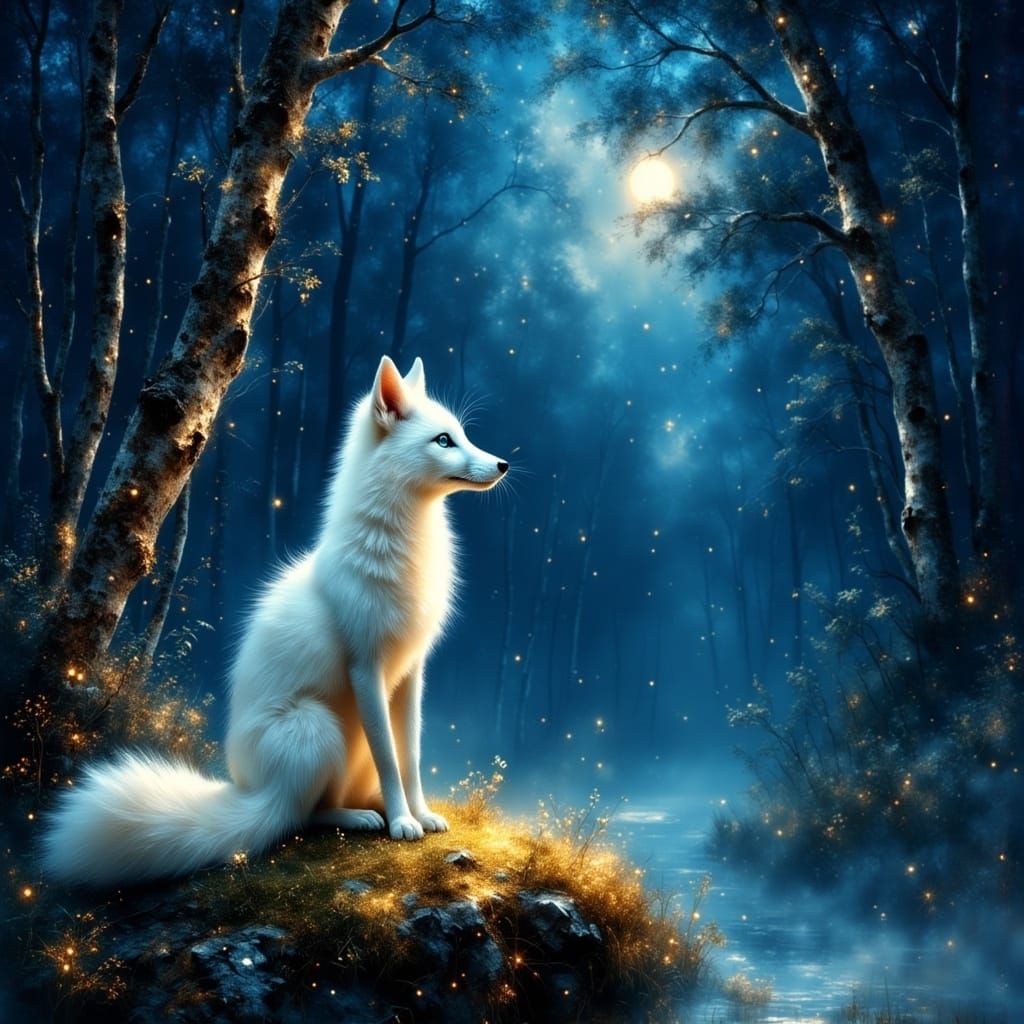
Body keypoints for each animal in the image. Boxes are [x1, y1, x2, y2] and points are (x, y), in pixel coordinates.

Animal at [41, 355, 508, 887]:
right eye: (443, 441)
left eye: (462, 435)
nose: (502, 464)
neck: (403, 544)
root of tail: (251, 790)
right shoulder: (366, 668)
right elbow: (389, 758)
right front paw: (402, 822)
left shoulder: (411, 672)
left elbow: (409, 755)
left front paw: (420, 813)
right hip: (317, 728)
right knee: (301, 815)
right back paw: (362, 817)